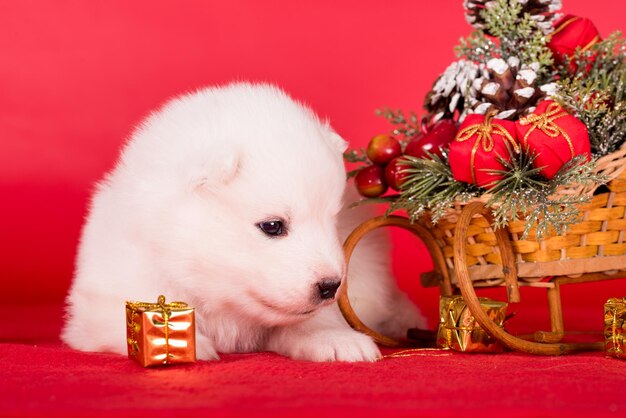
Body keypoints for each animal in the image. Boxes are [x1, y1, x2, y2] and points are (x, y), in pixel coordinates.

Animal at [62, 82, 424, 362]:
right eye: (272, 226)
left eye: (331, 221)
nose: (331, 285)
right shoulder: (105, 300)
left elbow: (310, 320)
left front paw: (336, 339)